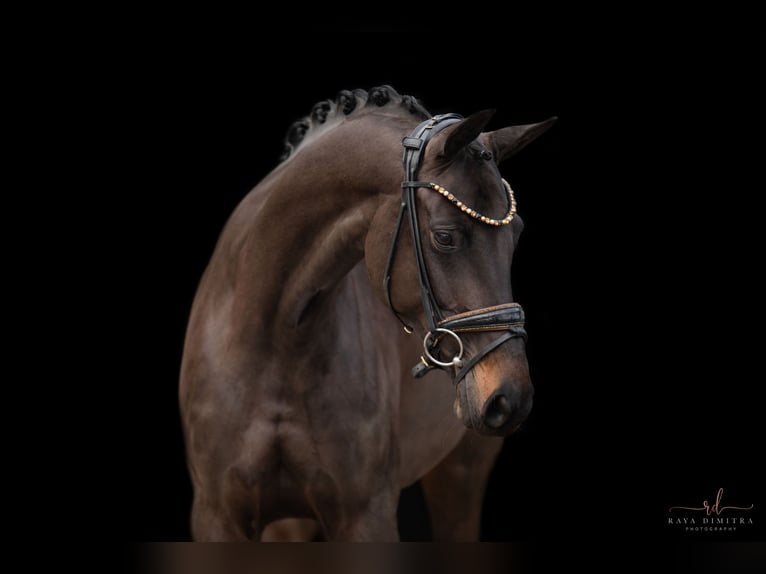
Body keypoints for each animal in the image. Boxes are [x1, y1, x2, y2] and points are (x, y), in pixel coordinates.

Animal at [178, 83, 556, 544]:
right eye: (445, 236)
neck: (275, 339)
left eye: (516, 233)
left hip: (461, 470)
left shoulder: (365, 514)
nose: (510, 397)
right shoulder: (217, 517)